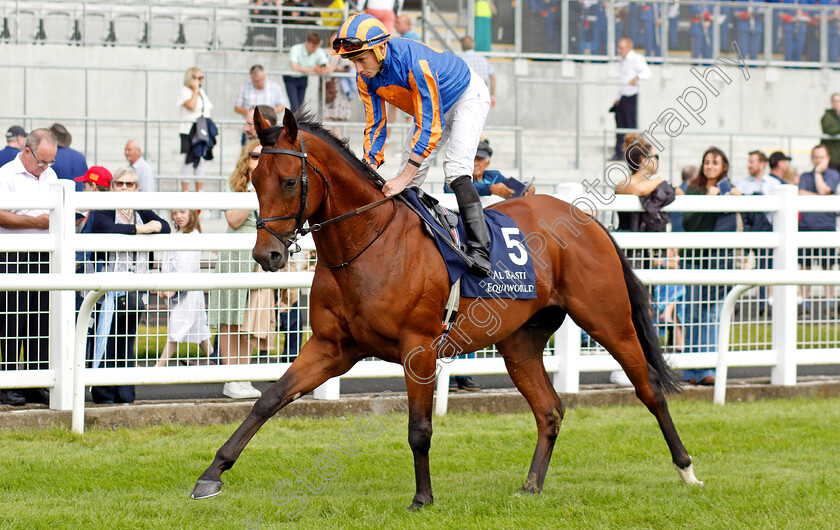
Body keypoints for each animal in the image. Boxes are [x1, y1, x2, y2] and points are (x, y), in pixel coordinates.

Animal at [190, 108, 704, 508]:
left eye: (290, 180)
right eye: (254, 182)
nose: (267, 255)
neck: (367, 244)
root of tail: (587, 219)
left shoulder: (418, 350)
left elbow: (419, 428)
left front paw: (422, 498)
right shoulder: (333, 346)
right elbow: (270, 399)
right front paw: (211, 474)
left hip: (608, 320)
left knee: (650, 390)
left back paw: (687, 470)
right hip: (520, 342)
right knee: (550, 410)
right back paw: (531, 485)